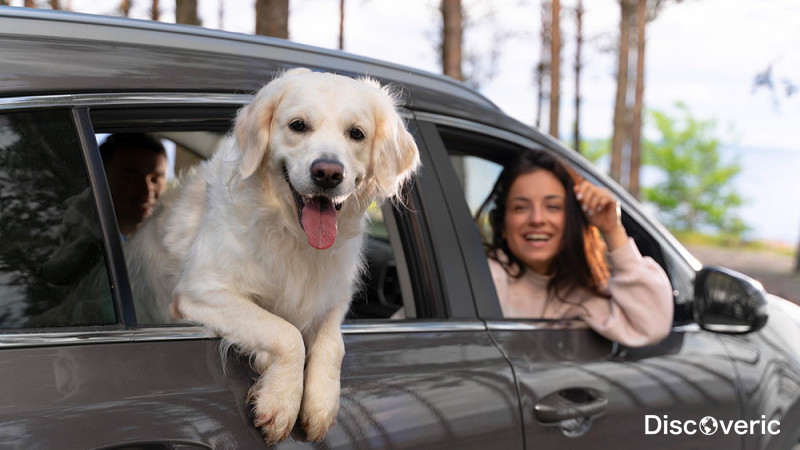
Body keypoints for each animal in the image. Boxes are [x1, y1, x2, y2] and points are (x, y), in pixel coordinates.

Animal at [123, 68, 418, 444]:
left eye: (356, 133)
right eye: (298, 125)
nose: (328, 173)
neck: (293, 235)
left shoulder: (333, 297)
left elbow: (332, 343)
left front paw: (321, 403)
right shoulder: (199, 292)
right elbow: (286, 332)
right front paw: (281, 400)